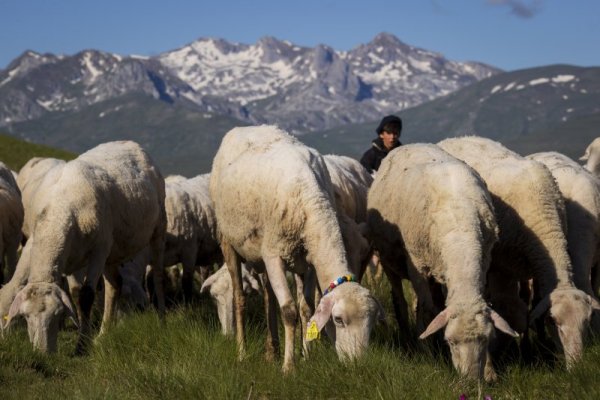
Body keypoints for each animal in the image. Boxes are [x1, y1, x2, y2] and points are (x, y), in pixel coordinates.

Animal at [0, 141, 166, 354]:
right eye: (26, 317)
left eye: (57, 314)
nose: (43, 354)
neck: (58, 211)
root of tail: (129, 143)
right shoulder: (71, 256)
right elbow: (76, 292)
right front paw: (86, 337)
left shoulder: (98, 250)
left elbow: (86, 296)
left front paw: (81, 346)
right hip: (112, 250)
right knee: (115, 285)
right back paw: (103, 334)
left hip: (158, 228)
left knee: (157, 277)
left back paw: (161, 320)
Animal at [209, 125, 382, 372]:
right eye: (338, 320)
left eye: (371, 323)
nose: (358, 365)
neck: (310, 198)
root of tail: (243, 128)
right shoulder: (274, 255)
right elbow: (289, 311)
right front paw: (289, 367)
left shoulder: (308, 261)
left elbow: (306, 309)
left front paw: (306, 357)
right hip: (229, 242)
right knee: (239, 297)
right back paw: (242, 352)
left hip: (262, 252)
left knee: (268, 298)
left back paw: (272, 350)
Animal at [366, 143, 516, 382]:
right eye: (451, 342)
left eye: (486, 339)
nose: (471, 381)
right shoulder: (416, 265)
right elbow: (428, 310)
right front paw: (427, 354)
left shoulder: (481, 264)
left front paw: (490, 370)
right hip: (390, 260)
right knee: (401, 301)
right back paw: (409, 339)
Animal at [436, 135, 600, 368]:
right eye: (554, 321)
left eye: (586, 322)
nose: (577, 366)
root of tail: (457, 137)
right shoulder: (499, 266)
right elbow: (510, 312)